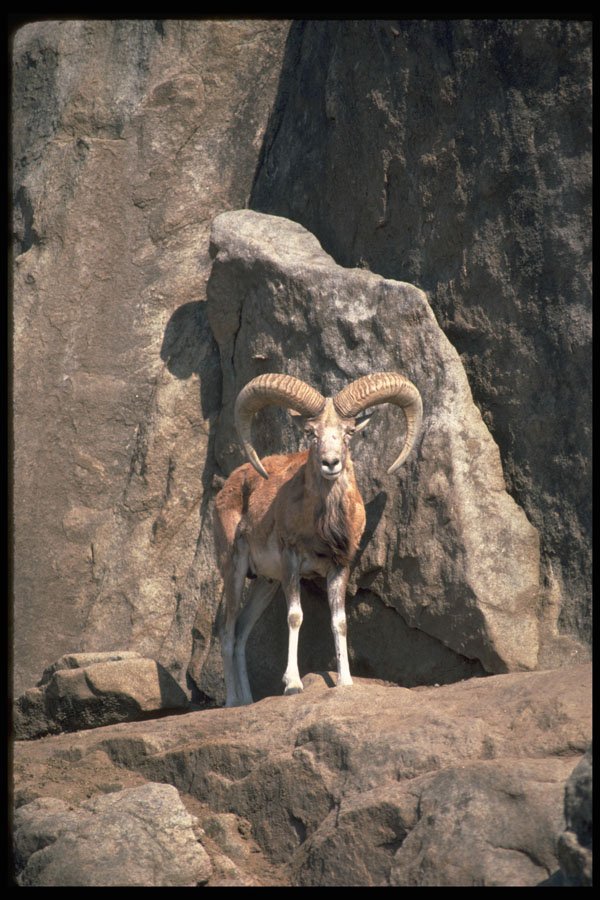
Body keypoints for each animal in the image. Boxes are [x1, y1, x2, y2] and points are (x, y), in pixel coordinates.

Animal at [214, 372, 423, 706]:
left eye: (348, 432)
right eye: (311, 433)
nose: (331, 462)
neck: (323, 525)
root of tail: (229, 487)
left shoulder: (339, 567)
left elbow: (339, 621)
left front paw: (346, 682)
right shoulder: (291, 563)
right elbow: (295, 616)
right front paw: (293, 685)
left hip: (265, 583)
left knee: (243, 631)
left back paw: (249, 699)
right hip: (234, 569)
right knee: (227, 630)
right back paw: (234, 701)